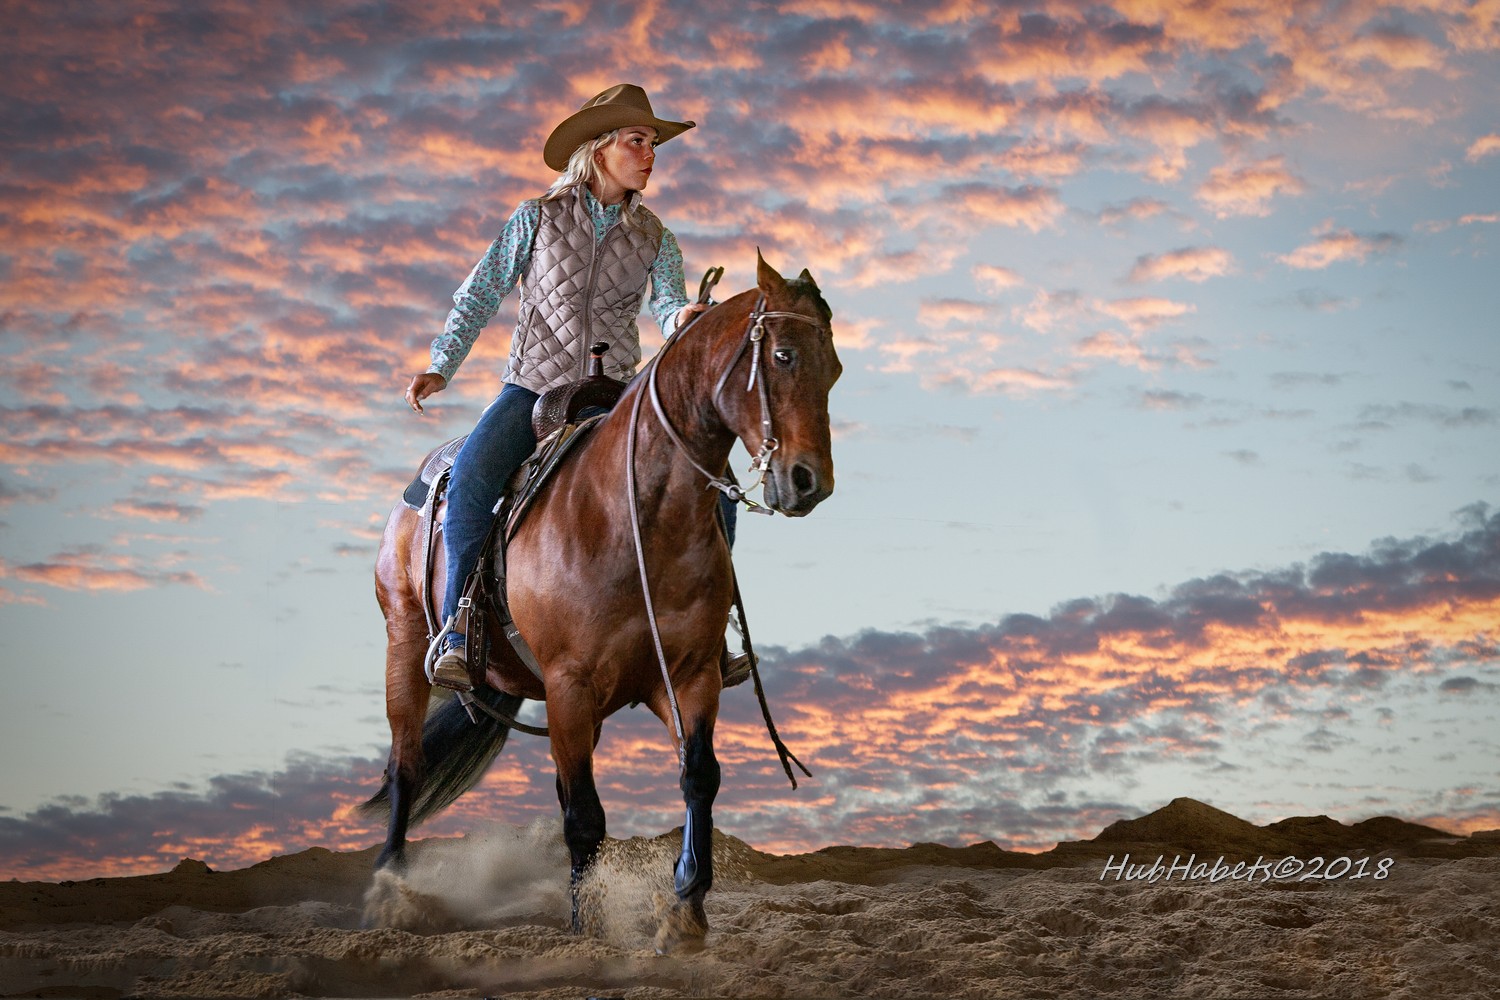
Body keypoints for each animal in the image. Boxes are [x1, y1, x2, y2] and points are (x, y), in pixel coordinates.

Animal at [358, 251, 840, 953]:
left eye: (836, 369)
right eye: (782, 355)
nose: (810, 482)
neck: (629, 514)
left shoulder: (686, 676)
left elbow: (700, 775)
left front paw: (686, 908)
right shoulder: (571, 684)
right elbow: (585, 817)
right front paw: (588, 930)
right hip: (406, 643)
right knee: (407, 767)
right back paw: (391, 893)